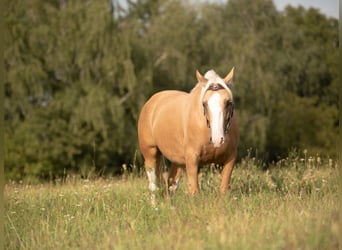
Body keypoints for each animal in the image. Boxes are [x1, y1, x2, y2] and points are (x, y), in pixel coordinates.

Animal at [138, 67, 239, 196]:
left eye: (228, 102)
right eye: (204, 103)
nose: (218, 140)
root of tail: (151, 101)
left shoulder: (231, 159)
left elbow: (224, 190)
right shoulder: (192, 159)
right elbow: (194, 191)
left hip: (177, 162)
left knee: (171, 185)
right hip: (150, 154)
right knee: (153, 187)